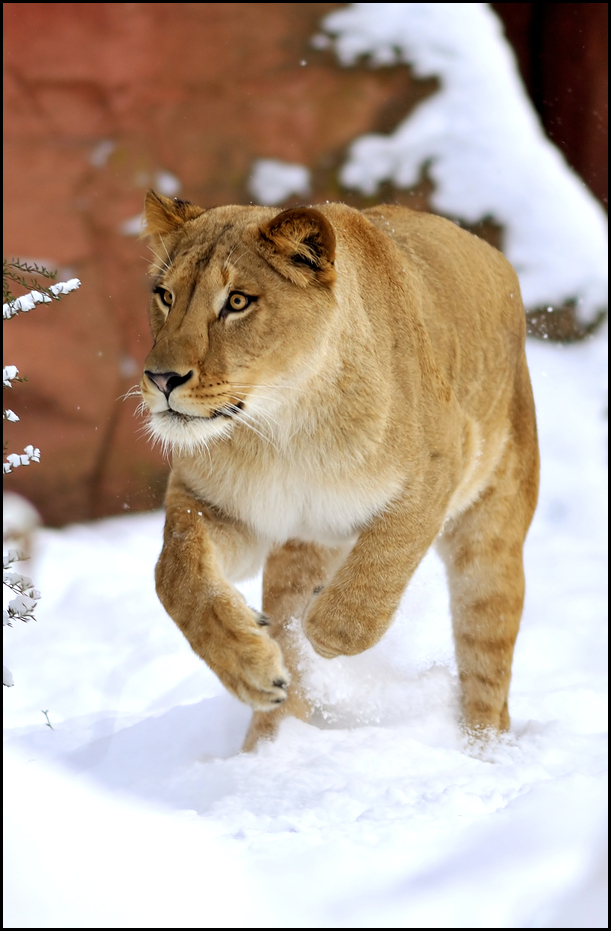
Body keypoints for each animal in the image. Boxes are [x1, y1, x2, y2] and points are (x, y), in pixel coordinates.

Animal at [140, 190, 539, 751]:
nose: (161, 378)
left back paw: (482, 756)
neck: (284, 427)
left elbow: (382, 563)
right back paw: (269, 748)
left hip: (491, 539)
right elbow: (176, 573)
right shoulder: (218, 505)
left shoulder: (445, 458)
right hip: (301, 546)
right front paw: (251, 665)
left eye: (237, 302)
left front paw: (325, 633)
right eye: (165, 295)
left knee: (488, 668)